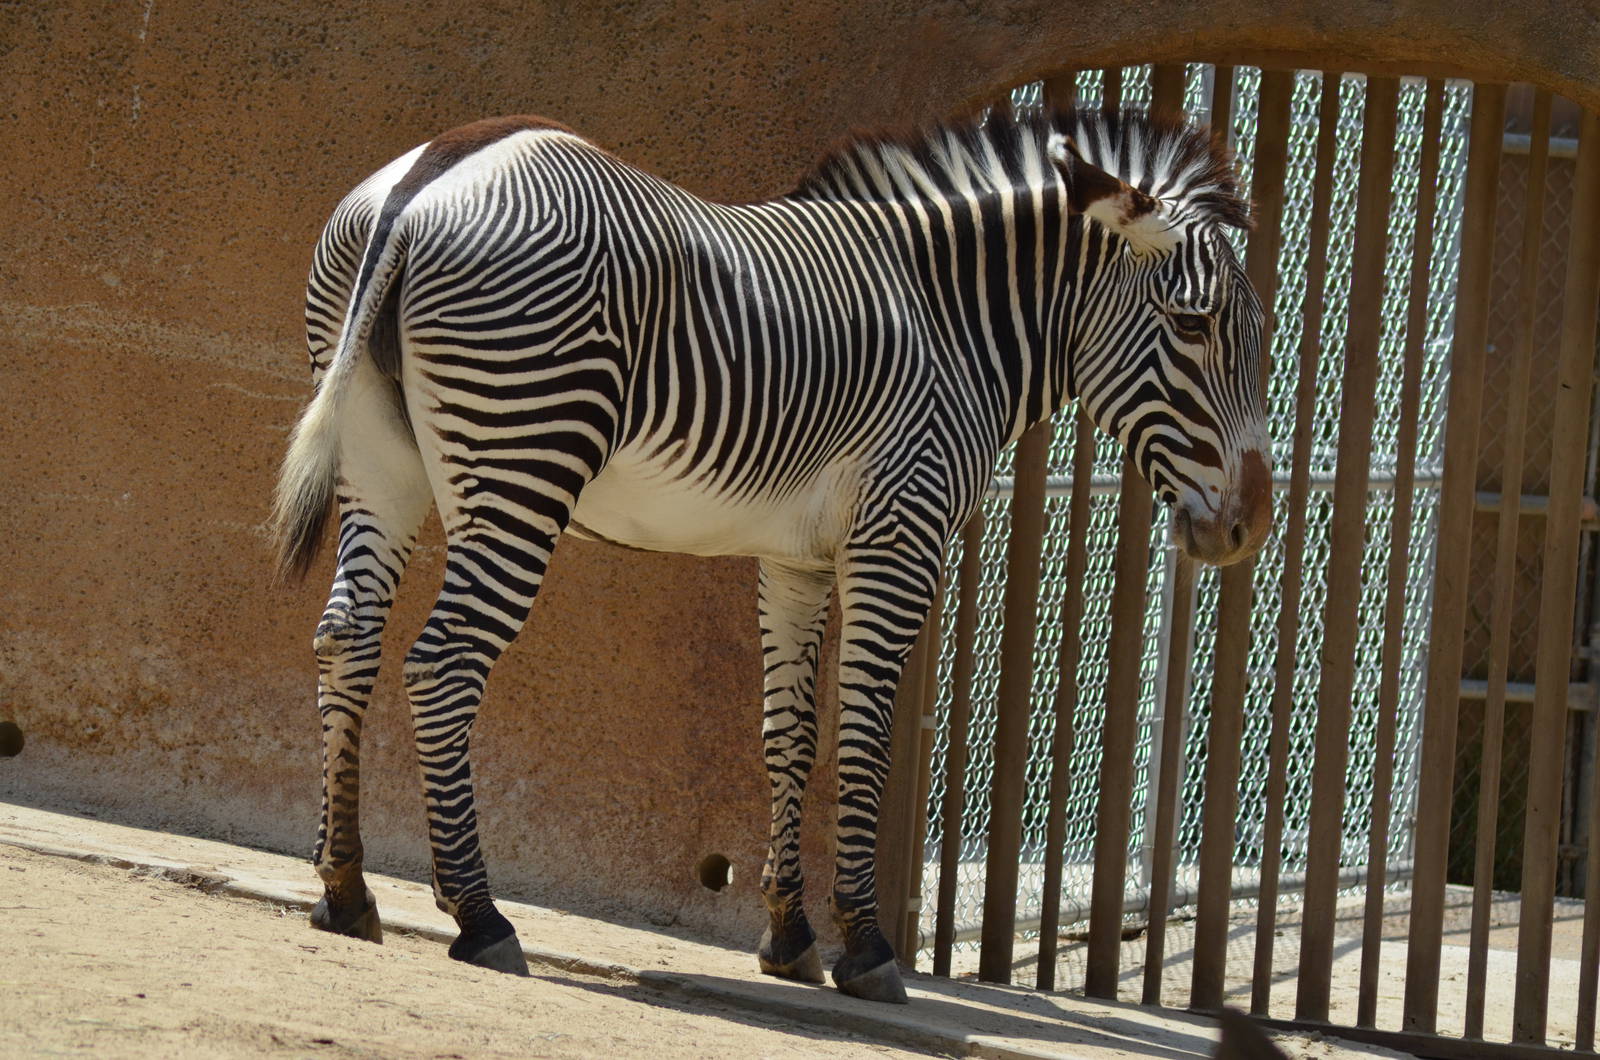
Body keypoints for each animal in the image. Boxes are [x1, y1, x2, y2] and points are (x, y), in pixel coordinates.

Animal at [273, 102, 1272, 1005]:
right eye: (1192, 326)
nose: (1250, 528)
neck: (953, 325)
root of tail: (429, 175)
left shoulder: (796, 561)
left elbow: (788, 736)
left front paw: (788, 937)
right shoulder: (899, 536)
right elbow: (863, 738)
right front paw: (865, 947)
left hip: (381, 463)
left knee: (346, 641)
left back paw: (346, 889)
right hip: (528, 454)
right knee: (443, 664)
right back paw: (481, 917)